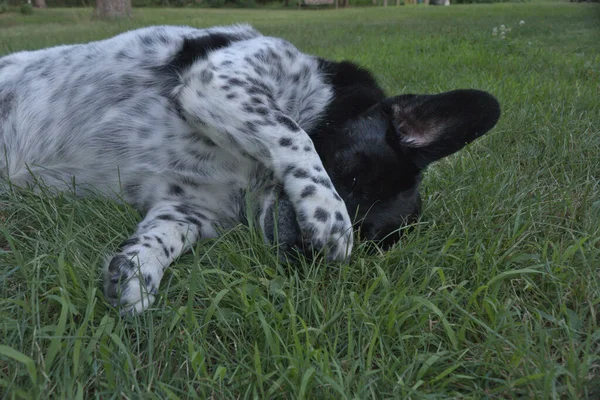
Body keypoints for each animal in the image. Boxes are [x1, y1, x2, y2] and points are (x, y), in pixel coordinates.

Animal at [0, 25, 500, 314]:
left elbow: (164, 237)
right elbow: (292, 130)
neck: (247, 173)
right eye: (348, 172)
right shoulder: (222, 78)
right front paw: (329, 217)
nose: (303, 252)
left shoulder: (189, 206)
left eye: (370, 235)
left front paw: (137, 271)